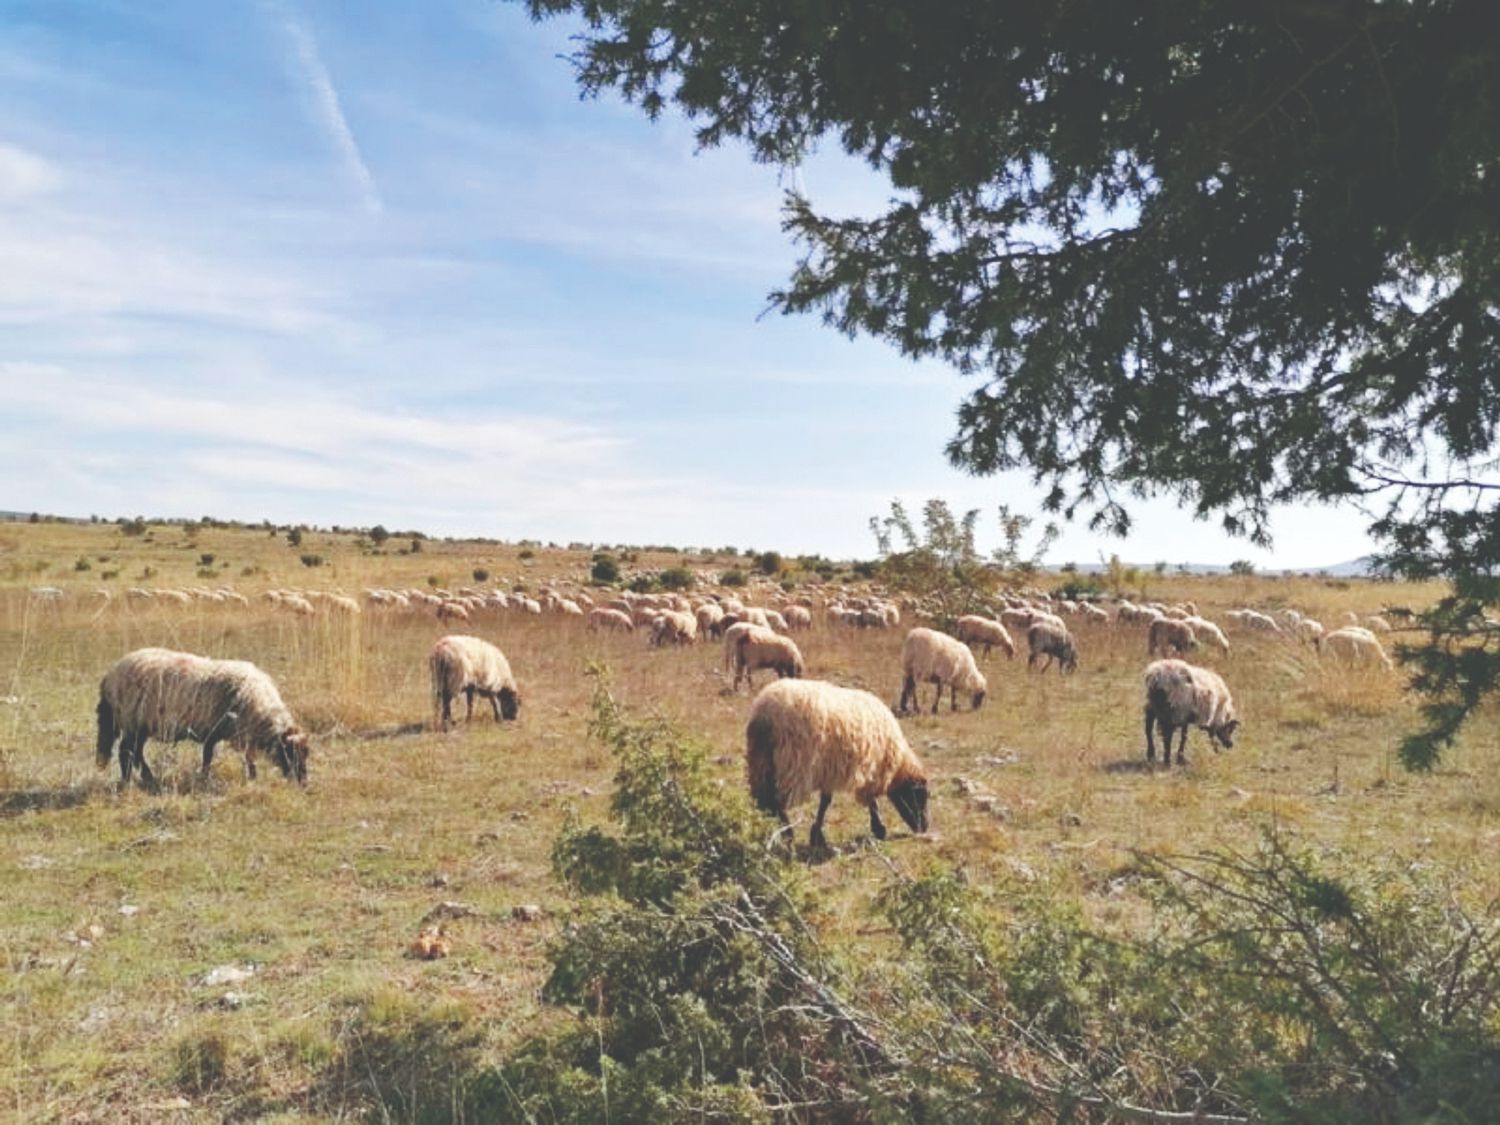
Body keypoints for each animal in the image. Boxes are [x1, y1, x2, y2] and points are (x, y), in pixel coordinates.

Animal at [95, 648, 312, 786]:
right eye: (291, 753)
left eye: (305, 754)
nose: (304, 783)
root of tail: (109, 676)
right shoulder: (215, 730)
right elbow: (208, 756)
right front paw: (205, 777)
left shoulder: (235, 732)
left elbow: (246, 757)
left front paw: (252, 777)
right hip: (132, 721)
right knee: (125, 751)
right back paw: (126, 781)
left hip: (142, 725)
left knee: (136, 752)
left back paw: (148, 777)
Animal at [747, 678, 924, 846]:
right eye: (919, 795)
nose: (924, 827)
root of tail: (765, 714)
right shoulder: (869, 770)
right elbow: (869, 801)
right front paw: (879, 828)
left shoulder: (829, 771)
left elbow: (825, 802)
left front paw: (817, 835)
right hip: (792, 763)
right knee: (775, 801)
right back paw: (787, 833)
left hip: (761, 763)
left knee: (763, 799)